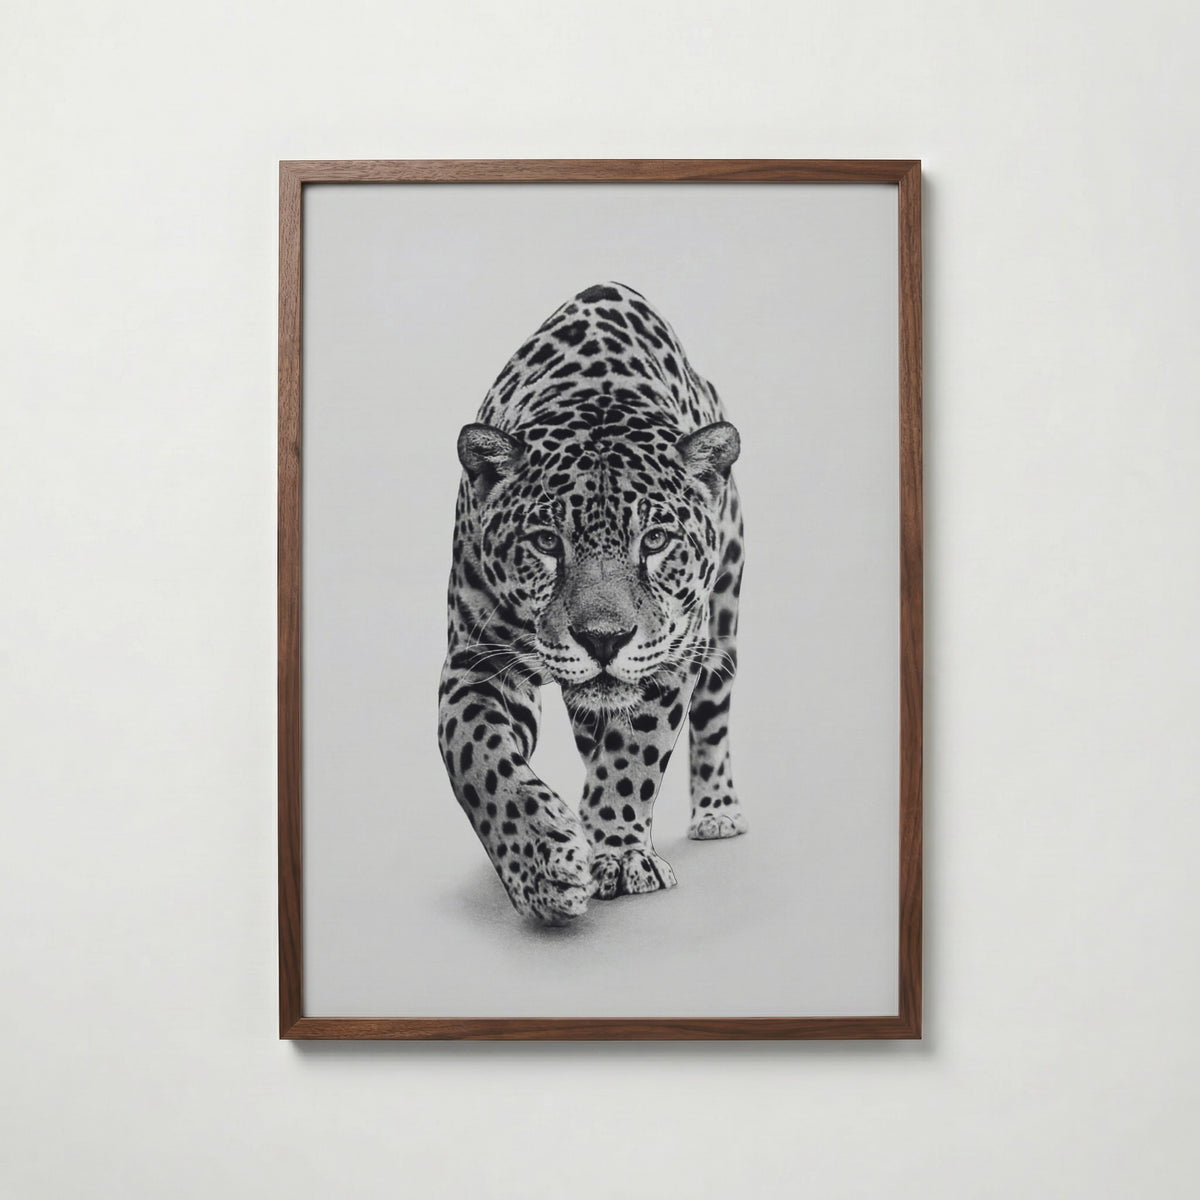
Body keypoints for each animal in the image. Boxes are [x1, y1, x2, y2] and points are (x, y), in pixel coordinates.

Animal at [437, 282, 746, 924]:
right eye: (546, 543)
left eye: (654, 540)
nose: (604, 639)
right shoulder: (475, 662)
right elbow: (480, 760)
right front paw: (542, 865)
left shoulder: (673, 652)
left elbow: (634, 756)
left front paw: (620, 855)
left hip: (724, 617)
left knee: (713, 716)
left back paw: (716, 811)